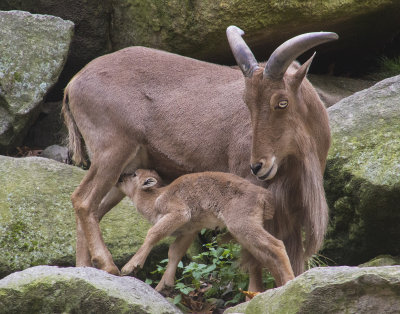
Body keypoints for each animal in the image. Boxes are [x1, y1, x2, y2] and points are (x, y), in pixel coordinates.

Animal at [115, 169, 294, 292]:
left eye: (134, 174)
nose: (120, 177)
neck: (155, 197)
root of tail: (264, 195)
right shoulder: (188, 232)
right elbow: (174, 253)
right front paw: (163, 285)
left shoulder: (179, 214)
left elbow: (152, 234)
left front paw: (130, 267)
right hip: (245, 234)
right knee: (266, 257)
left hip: (243, 226)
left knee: (277, 245)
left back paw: (289, 282)